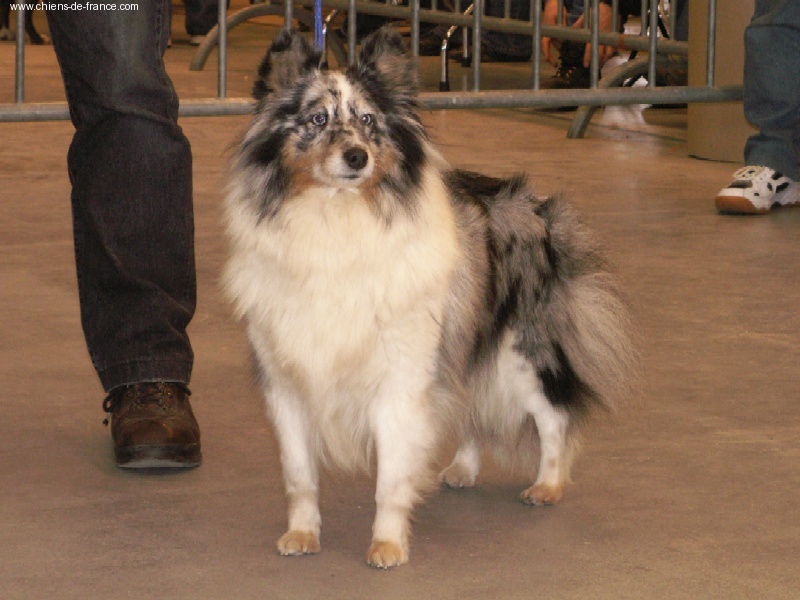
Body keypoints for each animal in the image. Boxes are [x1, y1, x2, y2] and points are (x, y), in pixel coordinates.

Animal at [222, 28, 636, 568]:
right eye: (317, 119)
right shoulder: (287, 383)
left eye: (368, 121)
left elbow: (391, 479)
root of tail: (539, 208)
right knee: (472, 408)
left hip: (517, 355)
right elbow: (299, 475)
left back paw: (546, 486)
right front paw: (302, 534)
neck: (336, 219)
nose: (357, 157)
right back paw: (462, 469)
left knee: (553, 417)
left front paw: (387, 545)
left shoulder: (399, 380)